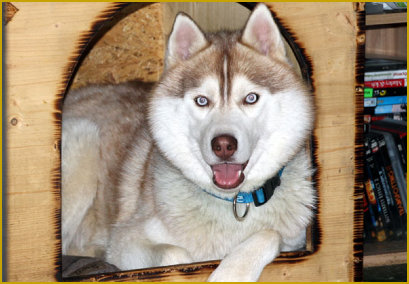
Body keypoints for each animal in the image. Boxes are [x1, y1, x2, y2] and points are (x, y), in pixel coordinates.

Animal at [62, 4, 314, 282]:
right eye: (202, 100)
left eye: (250, 98)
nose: (223, 145)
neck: (233, 202)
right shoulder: (125, 240)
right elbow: (177, 255)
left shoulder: (293, 241)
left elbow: (271, 233)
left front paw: (230, 273)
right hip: (84, 140)